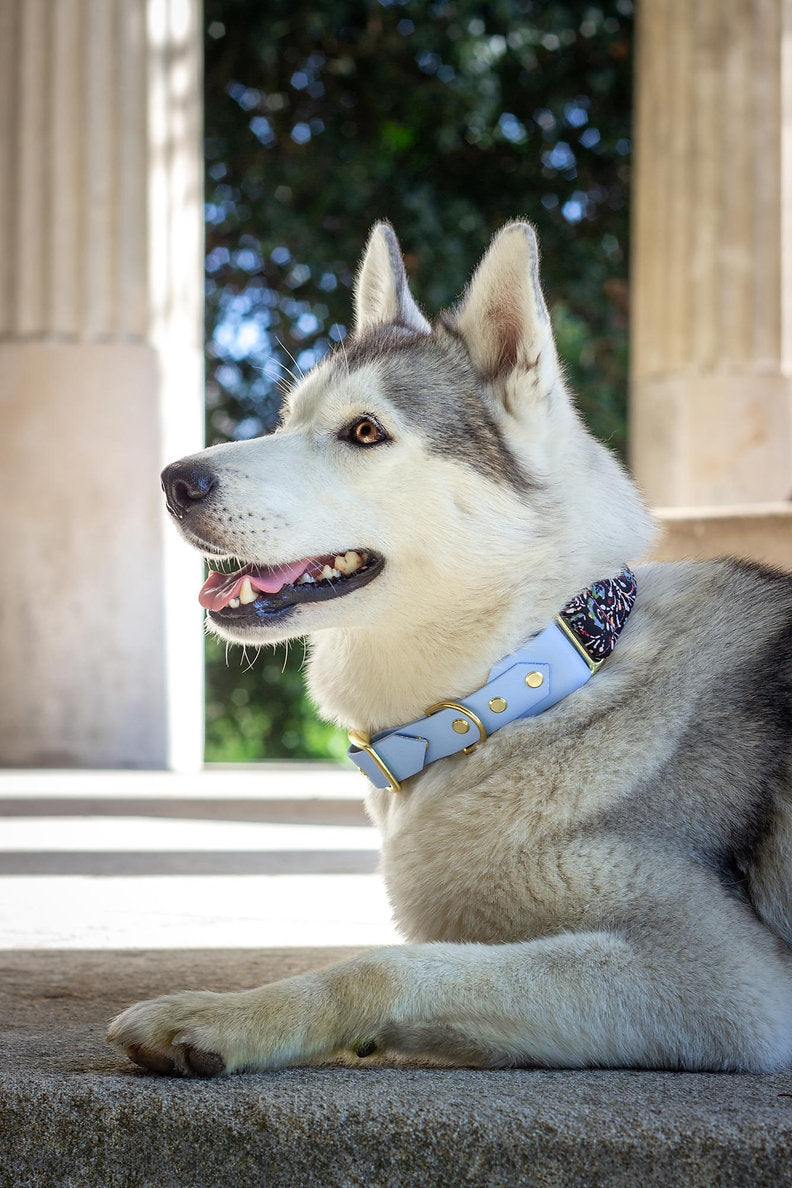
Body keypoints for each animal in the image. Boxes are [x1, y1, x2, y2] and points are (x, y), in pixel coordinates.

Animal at [108, 220, 792, 1078]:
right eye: (288, 418)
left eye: (365, 431)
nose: (176, 480)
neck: (528, 683)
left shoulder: (725, 983)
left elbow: (382, 964)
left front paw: (227, 1015)